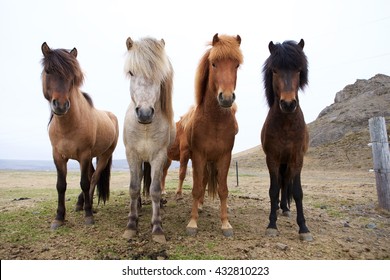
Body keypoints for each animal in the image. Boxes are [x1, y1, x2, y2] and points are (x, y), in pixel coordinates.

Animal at [40, 42, 119, 230]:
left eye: (73, 76)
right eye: (48, 71)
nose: (61, 105)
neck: (68, 125)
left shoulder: (84, 154)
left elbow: (85, 182)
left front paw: (88, 215)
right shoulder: (58, 156)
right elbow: (61, 185)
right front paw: (59, 217)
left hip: (104, 155)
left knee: (94, 177)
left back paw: (87, 204)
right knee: (92, 175)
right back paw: (80, 203)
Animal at [123, 36, 175, 243]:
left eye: (160, 76)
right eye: (131, 72)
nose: (145, 113)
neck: (145, 127)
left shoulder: (159, 157)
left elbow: (154, 190)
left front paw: (157, 227)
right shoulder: (132, 155)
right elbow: (134, 187)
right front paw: (131, 224)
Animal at [184, 34, 242, 237]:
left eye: (237, 65)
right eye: (214, 63)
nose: (226, 98)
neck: (215, 121)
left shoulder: (225, 157)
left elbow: (223, 190)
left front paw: (226, 224)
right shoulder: (198, 156)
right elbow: (196, 188)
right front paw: (192, 223)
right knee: (201, 182)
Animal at [260, 38, 312, 241]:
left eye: (298, 69)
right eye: (275, 70)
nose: (288, 104)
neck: (286, 126)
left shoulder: (297, 159)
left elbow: (297, 192)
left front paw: (303, 228)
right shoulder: (272, 158)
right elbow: (273, 190)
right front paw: (271, 225)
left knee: (286, 182)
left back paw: (285, 208)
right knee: (280, 183)